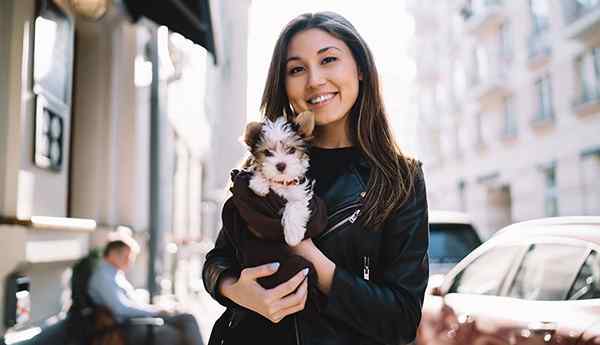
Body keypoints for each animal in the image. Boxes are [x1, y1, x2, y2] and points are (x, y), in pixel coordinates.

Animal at [243, 110, 316, 245]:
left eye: (292, 150)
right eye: (267, 152)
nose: (281, 165)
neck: (281, 182)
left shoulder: (300, 192)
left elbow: (295, 205)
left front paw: (293, 235)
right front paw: (260, 184)